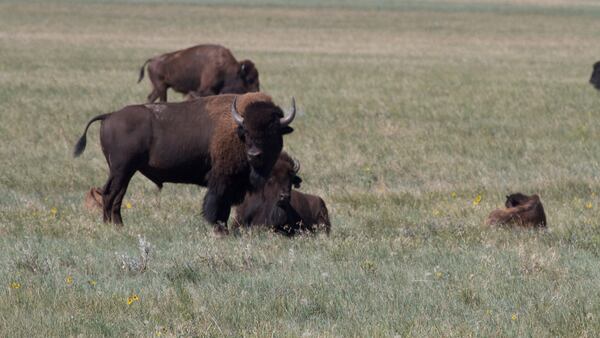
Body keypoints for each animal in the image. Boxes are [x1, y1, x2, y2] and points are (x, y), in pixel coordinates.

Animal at [72, 92, 296, 235]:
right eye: (247, 131)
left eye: (272, 130)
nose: (254, 154)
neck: (236, 128)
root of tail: (110, 116)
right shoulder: (222, 180)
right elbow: (218, 205)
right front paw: (220, 230)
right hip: (121, 170)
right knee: (109, 193)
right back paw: (111, 227)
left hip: (125, 172)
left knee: (116, 195)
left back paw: (118, 226)